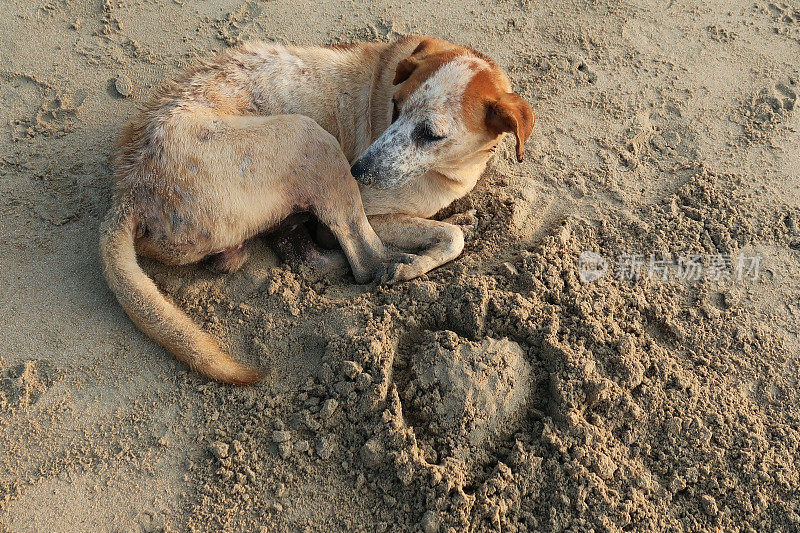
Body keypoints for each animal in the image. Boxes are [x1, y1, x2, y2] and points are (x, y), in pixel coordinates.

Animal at [101, 35, 536, 384]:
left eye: (430, 134)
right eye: (394, 107)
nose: (359, 170)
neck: (454, 169)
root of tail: (127, 193)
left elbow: (445, 228)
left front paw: (457, 220)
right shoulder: (371, 209)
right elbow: (449, 237)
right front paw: (417, 260)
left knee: (302, 253)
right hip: (310, 137)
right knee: (364, 262)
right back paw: (392, 265)